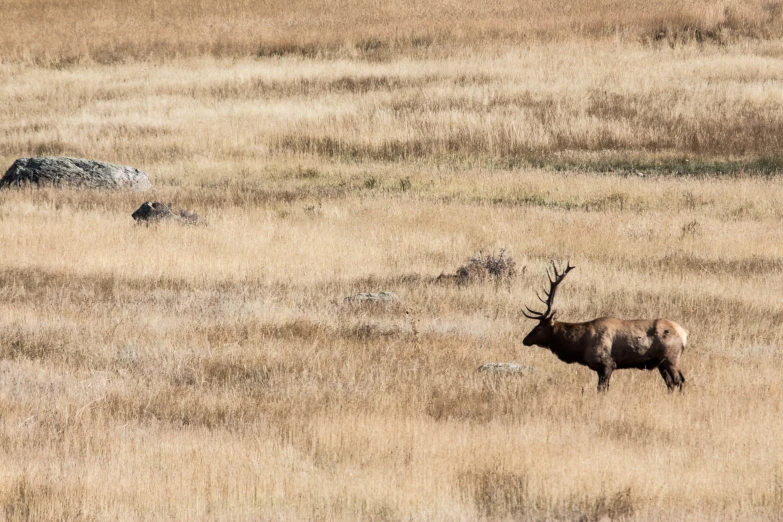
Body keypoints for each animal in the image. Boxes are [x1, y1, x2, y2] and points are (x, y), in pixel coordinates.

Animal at [528, 260, 688, 390]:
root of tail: (684, 334)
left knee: (678, 380)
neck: (580, 345)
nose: (525, 340)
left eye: (539, 328)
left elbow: (602, 389)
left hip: (671, 358)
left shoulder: (607, 364)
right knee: (672, 383)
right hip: (662, 363)